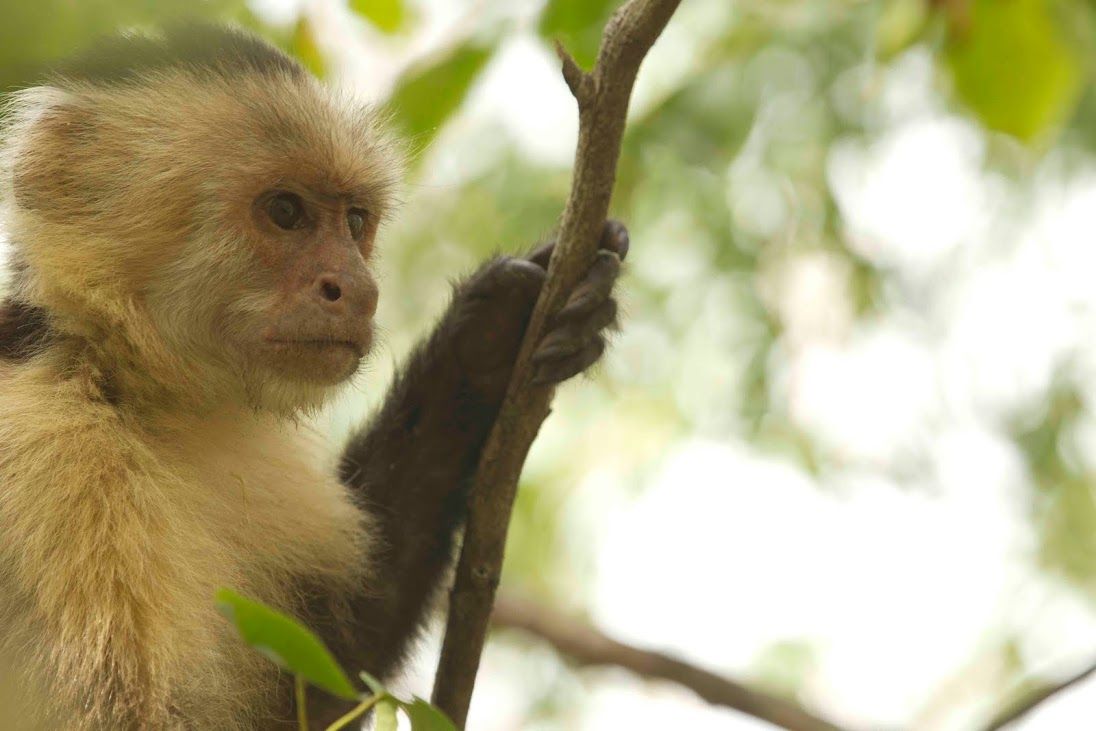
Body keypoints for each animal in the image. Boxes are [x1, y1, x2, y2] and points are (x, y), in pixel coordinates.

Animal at [0, 25, 627, 730]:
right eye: (284, 211)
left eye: (354, 221)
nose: (357, 288)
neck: (136, 390)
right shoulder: (50, 458)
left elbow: (322, 668)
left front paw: (492, 335)